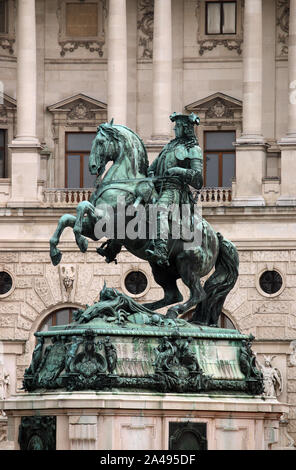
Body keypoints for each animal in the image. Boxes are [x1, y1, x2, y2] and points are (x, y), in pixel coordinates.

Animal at [48, 121, 238, 324]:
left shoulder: (105, 221)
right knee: (173, 295)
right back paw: (141, 309)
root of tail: (216, 238)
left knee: (197, 294)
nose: (92, 166)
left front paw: (80, 241)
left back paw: (168, 312)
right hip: (161, 268)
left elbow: (81, 207)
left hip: (187, 263)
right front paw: (56, 252)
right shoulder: (94, 227)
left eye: (100, 142)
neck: (125, 182)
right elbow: (66, 218)